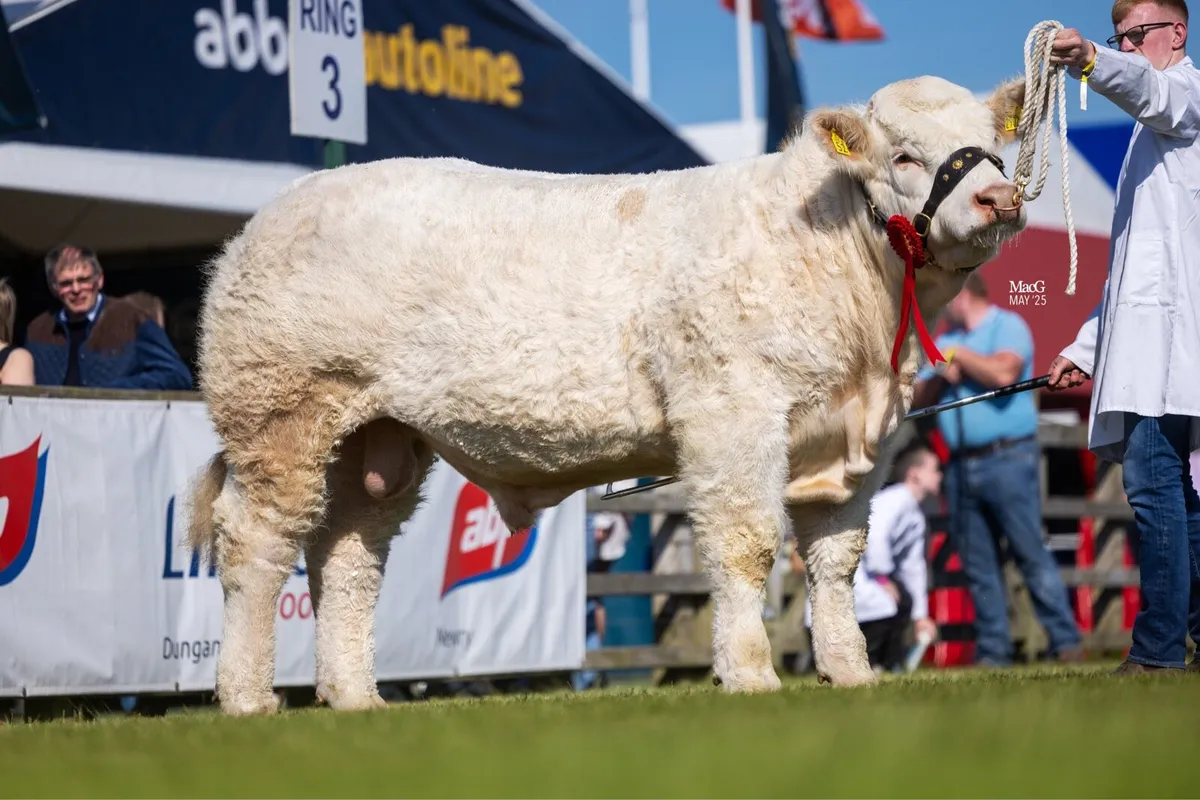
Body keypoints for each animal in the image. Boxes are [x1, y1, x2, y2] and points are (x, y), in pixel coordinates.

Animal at [186, 73, 1029, 715]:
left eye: (997, 143)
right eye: (907, 154)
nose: (1001, 199)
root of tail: (265, 219)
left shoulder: (858, 437)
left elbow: (836, 559)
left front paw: (850, 672)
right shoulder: (732, 413)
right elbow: (749, 544)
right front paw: (750, 673)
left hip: (380, 440)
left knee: (349, 556)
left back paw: (356, 695)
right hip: (280, 415)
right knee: (257, 543)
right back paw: (249, 696)